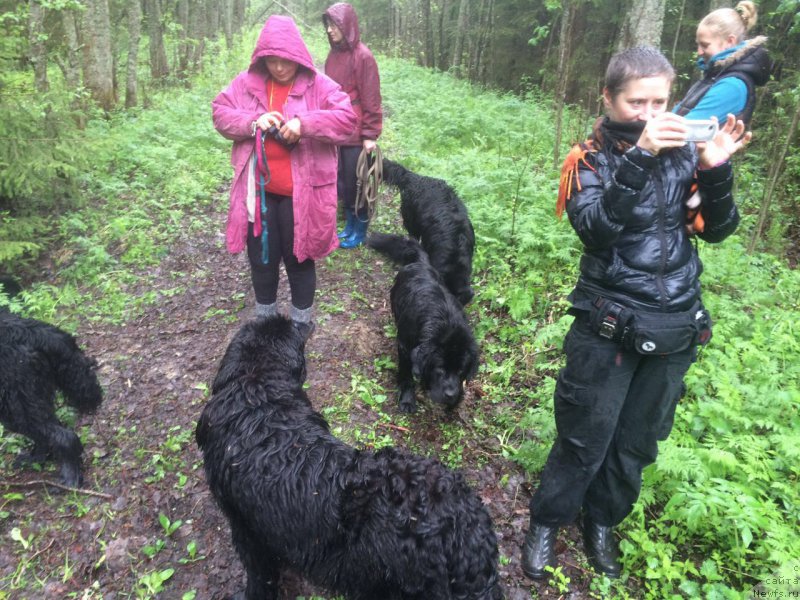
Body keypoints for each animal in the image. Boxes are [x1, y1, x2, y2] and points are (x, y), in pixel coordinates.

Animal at [366, 233, 478, 412]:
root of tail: (421, 262)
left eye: (461, 370)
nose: (451, 394)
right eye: (440, 369)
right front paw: (407, 400)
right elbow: (406, 373)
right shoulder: (404, 346)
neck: (444, 323)